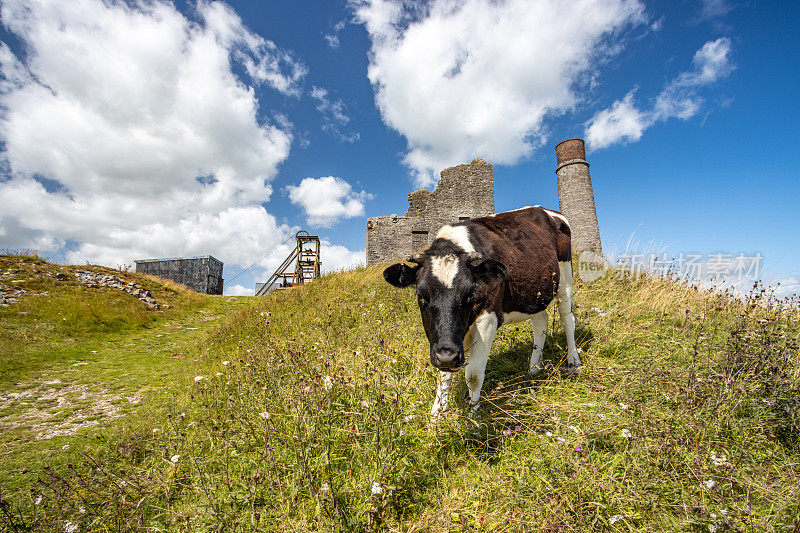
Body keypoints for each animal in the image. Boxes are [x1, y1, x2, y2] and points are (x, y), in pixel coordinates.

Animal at [382, 206, 580, 418]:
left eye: (470, 293)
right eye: (420, 296)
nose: (447, 356)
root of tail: (544, 209)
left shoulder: (488, 319)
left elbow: (474, 374)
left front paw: (474, 416)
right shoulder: (444, 343)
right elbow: (443, 375)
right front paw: (437, 414)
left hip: (565, 278)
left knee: (567, 319)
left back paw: (573, 361)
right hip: (535, 292)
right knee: (541, 321)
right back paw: (534, 367)